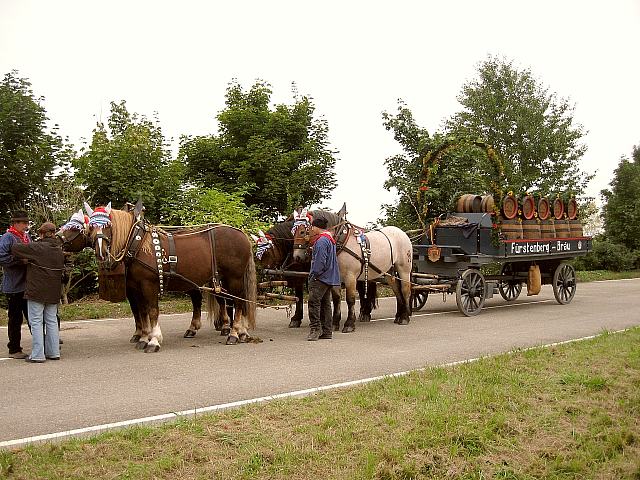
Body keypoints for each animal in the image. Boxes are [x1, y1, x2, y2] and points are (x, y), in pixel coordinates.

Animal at [84, 201, 256, 350]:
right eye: (91, 227)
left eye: (107, 225)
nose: (101, 253)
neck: (138, 243)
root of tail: (242, 234)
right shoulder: (136, 288)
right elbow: (142, 312)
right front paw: (143, 338)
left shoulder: (149, 284)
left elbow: (152, 311)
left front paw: (153, 340)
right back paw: (239, 332)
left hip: (234, 278)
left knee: (238, 303)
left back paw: (234, 333)